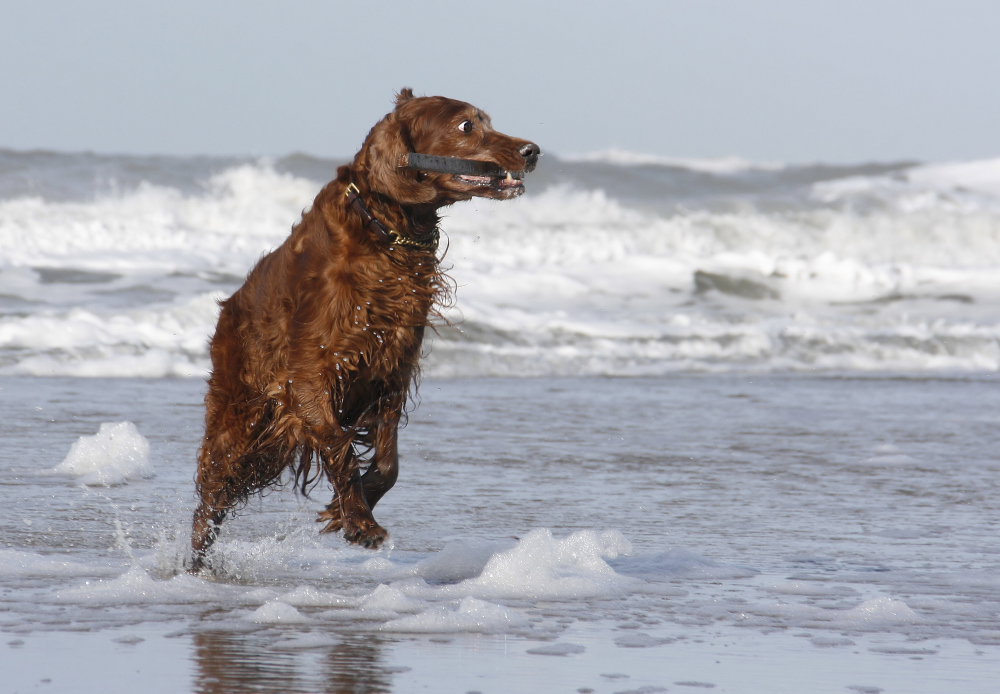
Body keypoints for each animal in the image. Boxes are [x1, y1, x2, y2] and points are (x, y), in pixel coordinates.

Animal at [191, 89, 544, 572]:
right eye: (466, 126)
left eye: (487, 121)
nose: (533, 151)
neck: (384, 232)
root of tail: (226, 313)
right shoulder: (308, 378)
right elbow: (340, 447)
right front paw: (360, 522)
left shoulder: (391, 368)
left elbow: (389, 461)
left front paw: (346, 508)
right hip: (241, 421)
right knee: (210, 494)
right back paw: (194, 564)